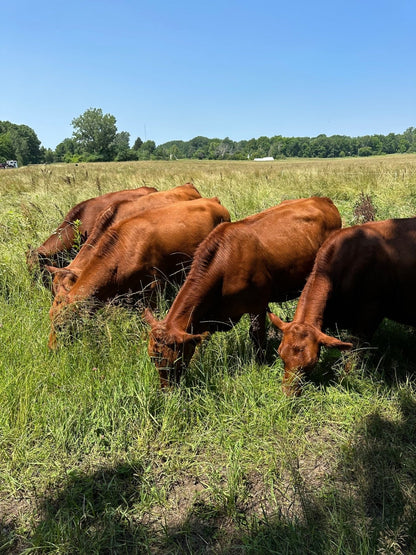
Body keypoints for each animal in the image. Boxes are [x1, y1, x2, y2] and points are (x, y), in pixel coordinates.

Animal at [144, 198, 342, 388]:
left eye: (174, 358)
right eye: (153, 358)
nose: (167, 390)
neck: (224, 264)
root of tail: (323, 199)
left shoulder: (258, 304)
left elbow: (256, 334)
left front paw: (261, 363)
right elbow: (201, 340)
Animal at [266, 216, 416, 396]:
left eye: (311, 363)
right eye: (281, 355)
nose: (288, 394)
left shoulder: (371, 312)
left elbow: (355, 351)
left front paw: (345, 379)